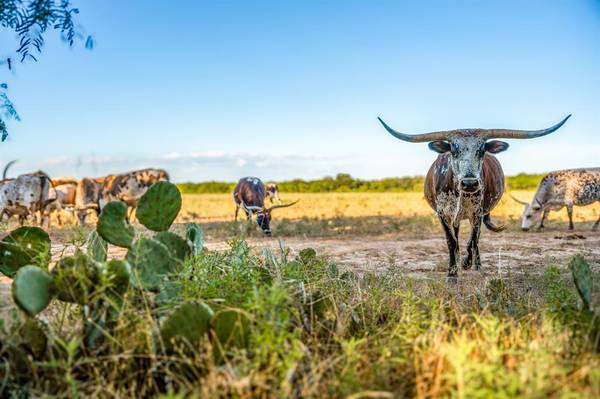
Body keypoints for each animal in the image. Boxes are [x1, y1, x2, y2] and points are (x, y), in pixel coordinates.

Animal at [380, 114, 572, 280]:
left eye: (482, 150)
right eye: (453, 150)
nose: (470, 183)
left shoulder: (477, 213)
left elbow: (473, 240)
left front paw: (467, 263)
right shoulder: (443, 214)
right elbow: (451, 241)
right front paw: (452, 272)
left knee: (476, 240)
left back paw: (476, 265)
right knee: (457, 236)